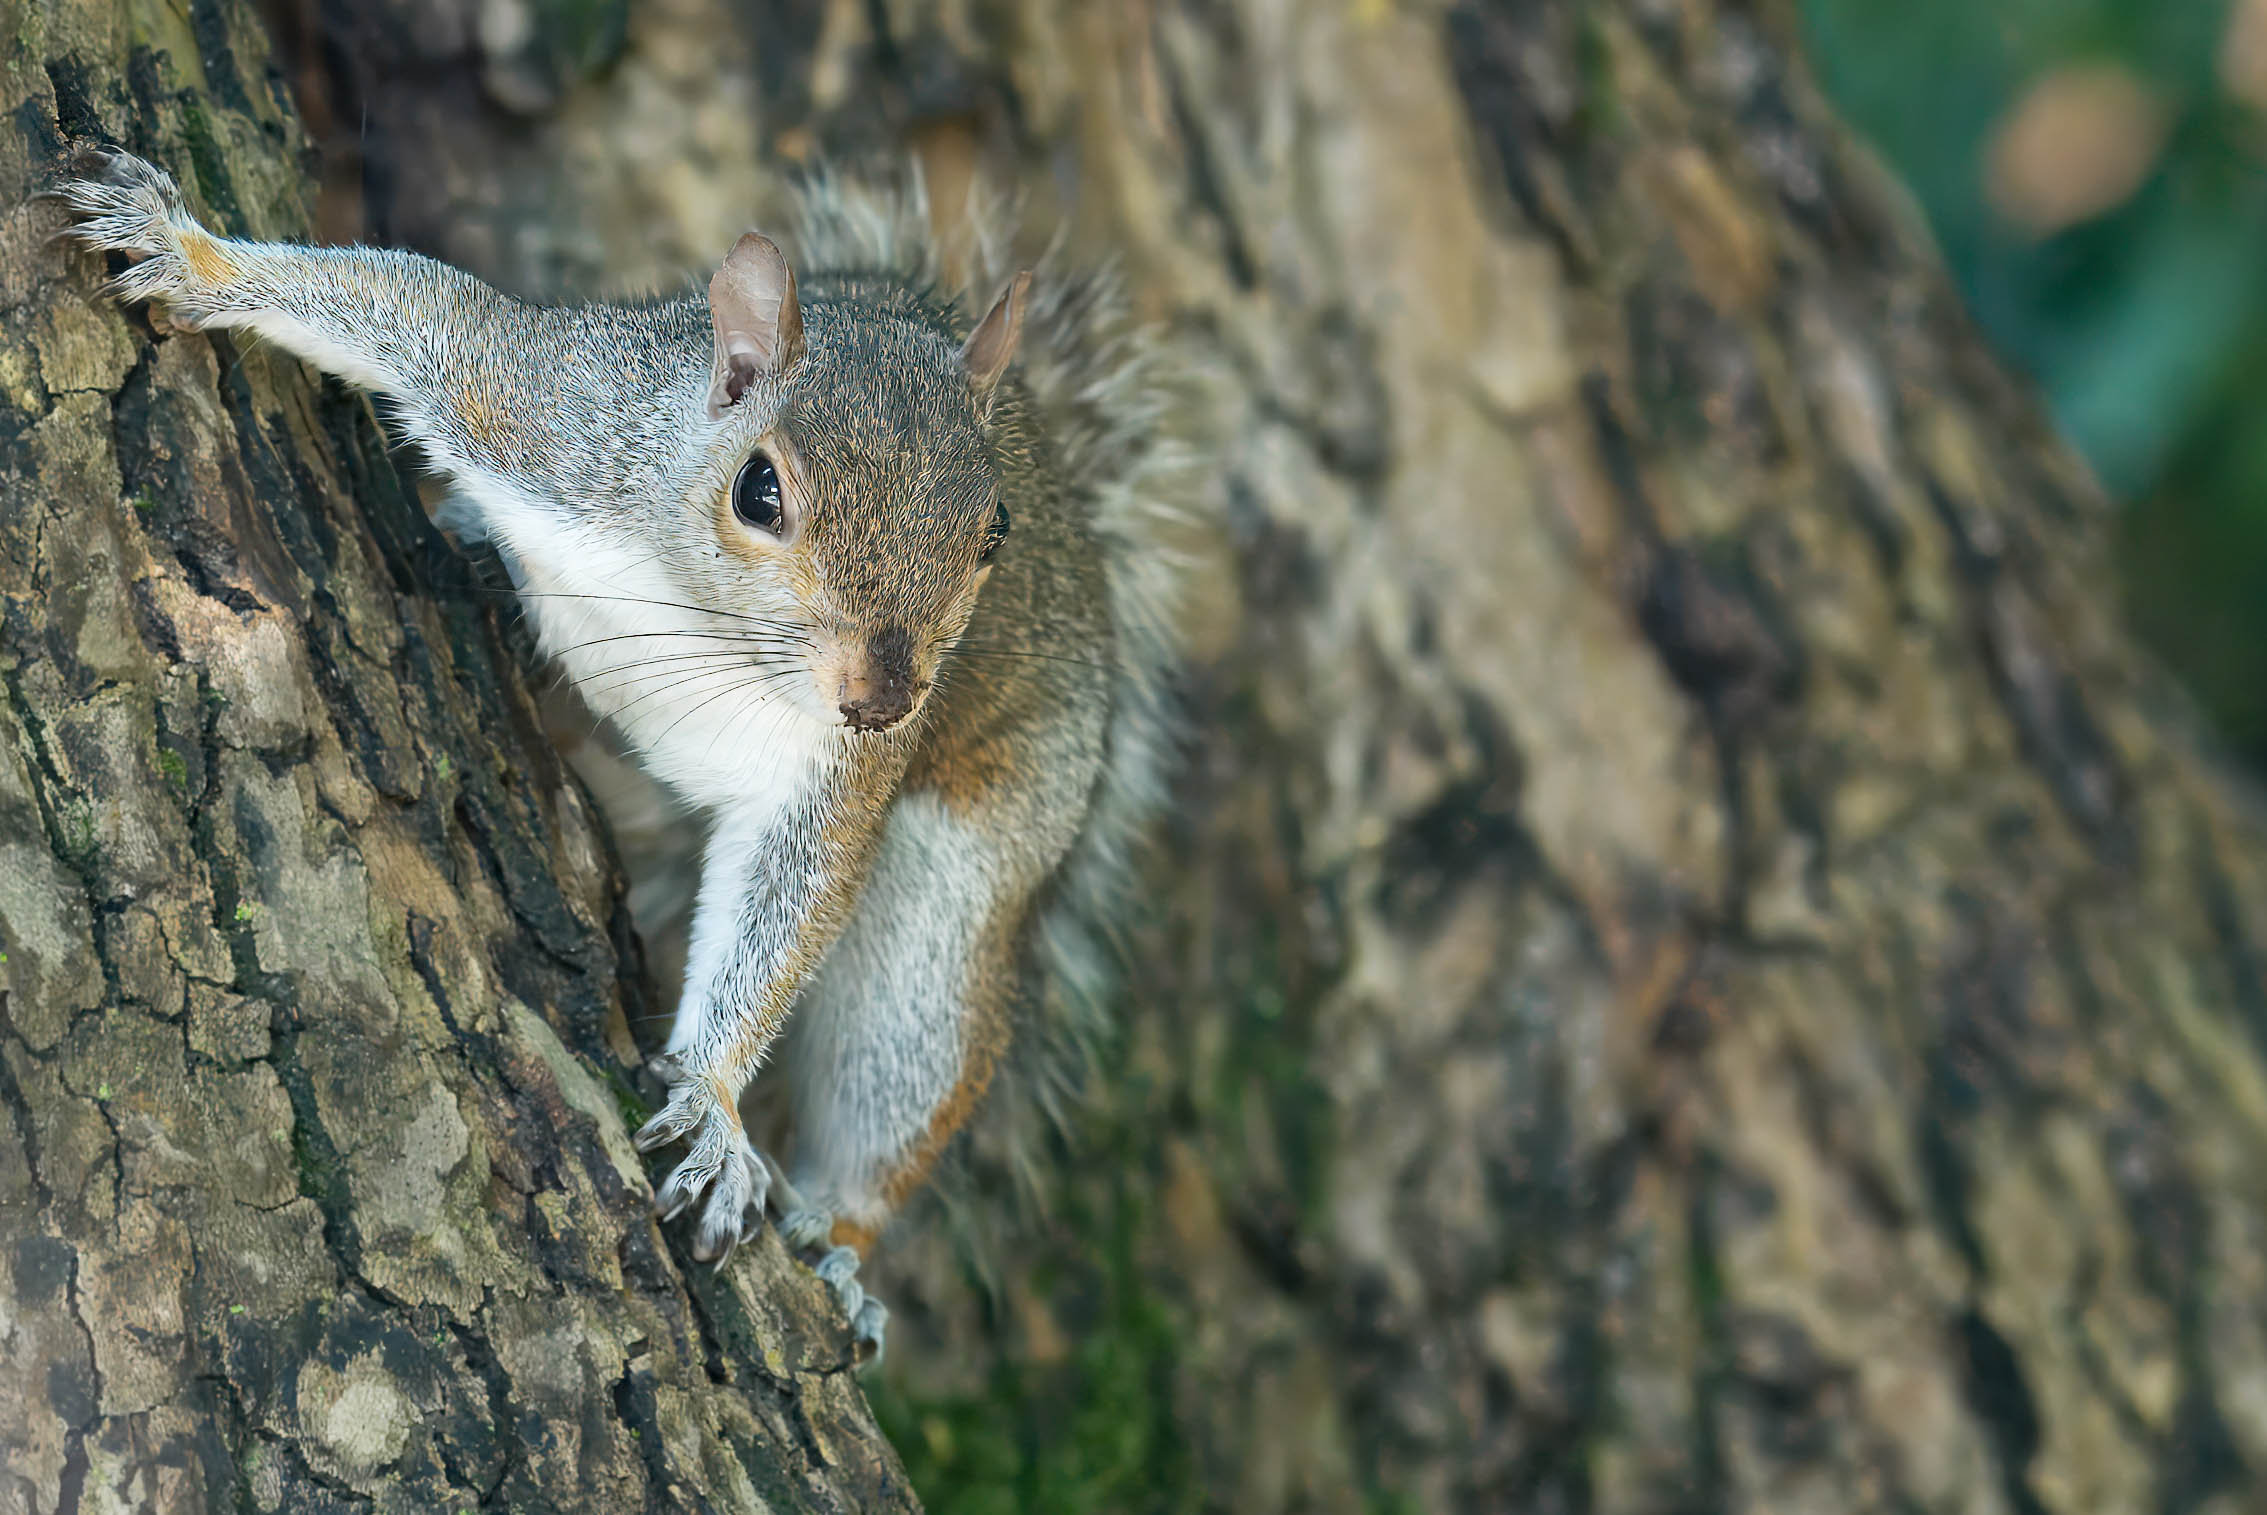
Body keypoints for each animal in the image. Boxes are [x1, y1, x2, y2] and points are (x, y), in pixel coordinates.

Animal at [51, 147, 1197, 1360]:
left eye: (994, 534)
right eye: (759, 490)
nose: (883, 699)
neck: (697, 612)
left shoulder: (837, 775)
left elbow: (789, 904)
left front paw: (715, 1107)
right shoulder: (545, 417)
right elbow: (418, 313)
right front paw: (186, 251)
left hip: (960, 893)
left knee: (905, 1078)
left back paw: (840, 1247)